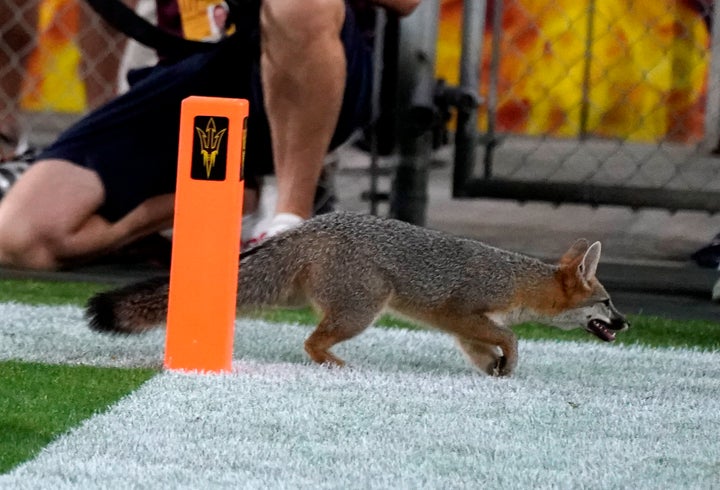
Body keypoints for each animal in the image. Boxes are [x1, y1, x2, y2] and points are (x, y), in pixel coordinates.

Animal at [87, 211, 632, 376]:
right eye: (608, 303)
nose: (627, 323)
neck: (516, 279)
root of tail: (312, 224)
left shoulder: (461, 325)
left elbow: (487, 348)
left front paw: (496, 371)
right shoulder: (462, 310)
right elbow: (512, 338)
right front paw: (510, 364)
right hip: (364, 310)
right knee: (310, 342)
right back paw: (334, 365)